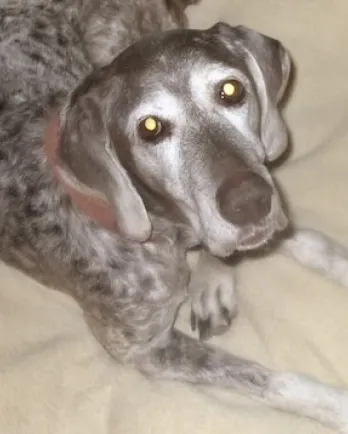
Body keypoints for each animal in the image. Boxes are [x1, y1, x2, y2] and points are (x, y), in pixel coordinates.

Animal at [0, 0, 348, 430]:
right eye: (150, 127)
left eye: (231, 89)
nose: (250, 202)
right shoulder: (143, 348)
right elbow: (271, 380)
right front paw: (337, 405)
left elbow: (314, 244)